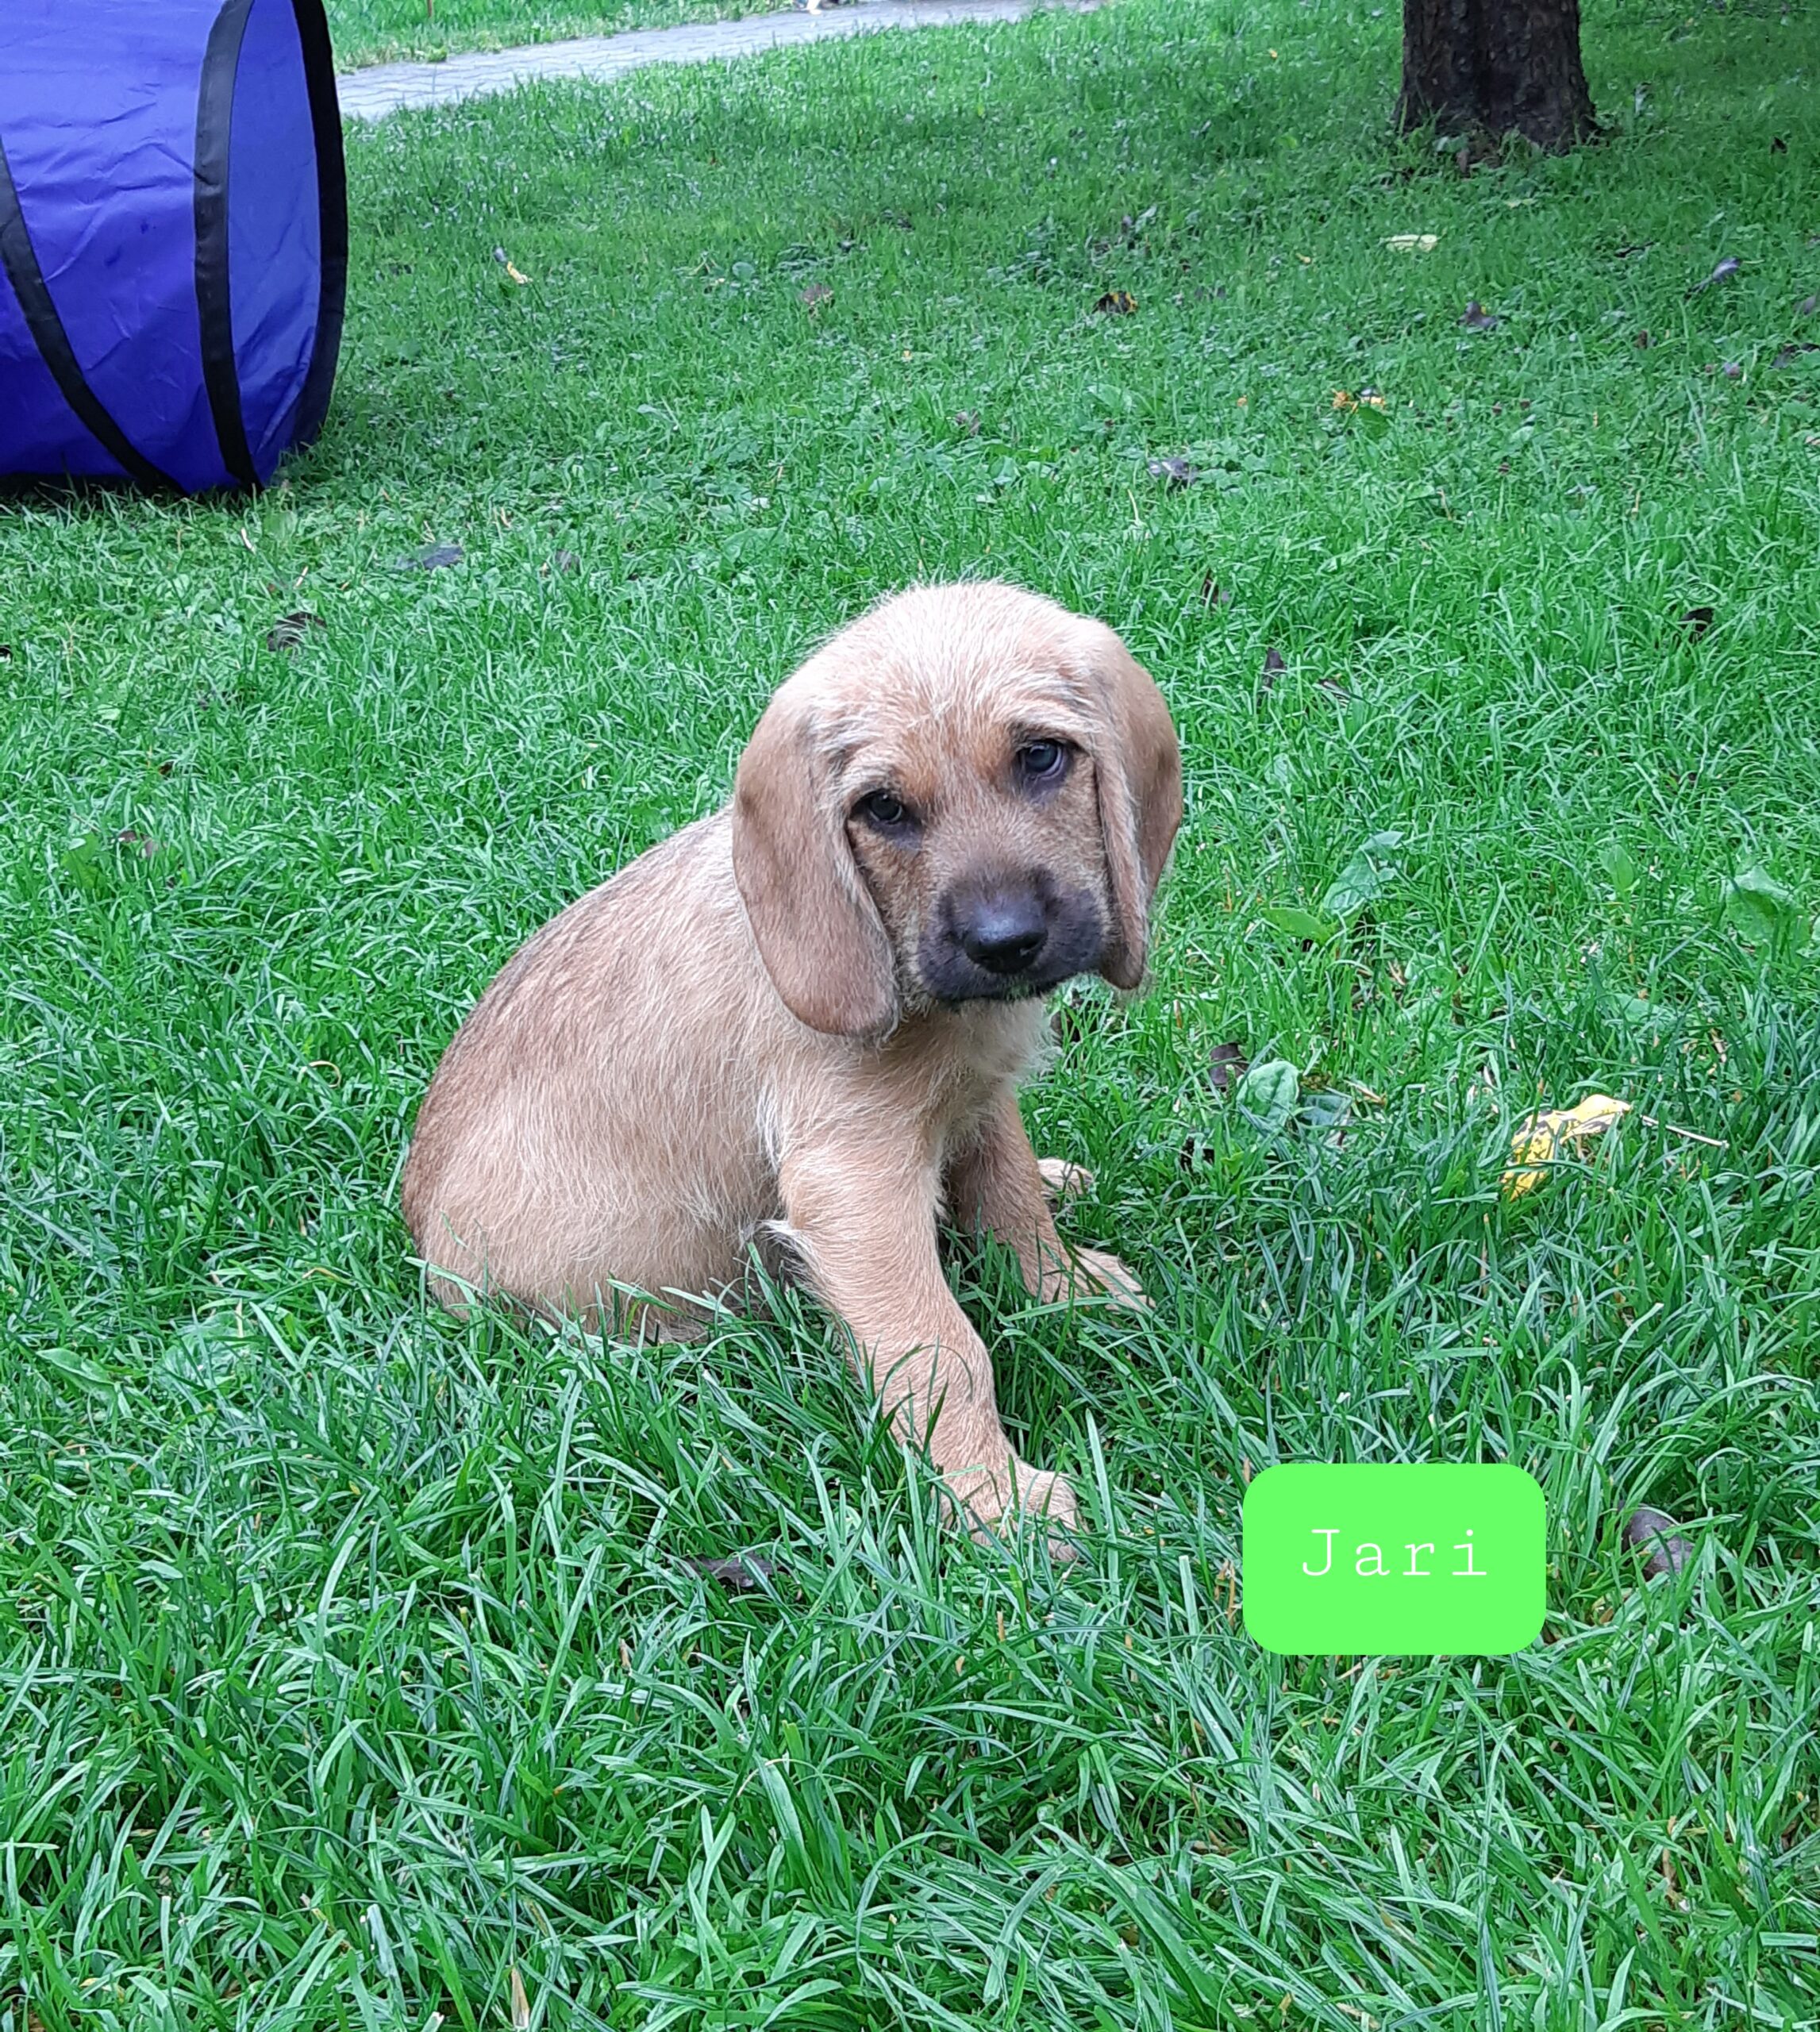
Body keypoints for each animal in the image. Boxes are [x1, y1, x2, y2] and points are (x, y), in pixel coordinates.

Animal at [401, 581, 1182, 1538]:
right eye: (883, 809)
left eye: (1041, 758)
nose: (1004, 944)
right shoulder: (853, 1182)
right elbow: (941, 1348)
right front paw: (995, 1498)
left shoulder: (981, 1097)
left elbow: (1009, 1200)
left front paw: (1063, 1287)